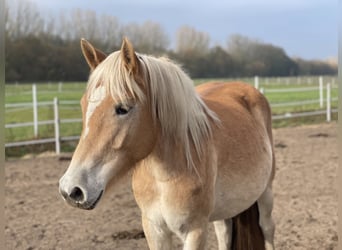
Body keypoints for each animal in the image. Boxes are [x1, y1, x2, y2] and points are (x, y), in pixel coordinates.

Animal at [58, 37, 276, 250]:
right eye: (83, 105)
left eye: (123, 108)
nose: (71, 190)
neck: (163, 177)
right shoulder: (154, 228)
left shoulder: (195, 231)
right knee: (224, 233)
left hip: (266, 193)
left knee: (267, 229)